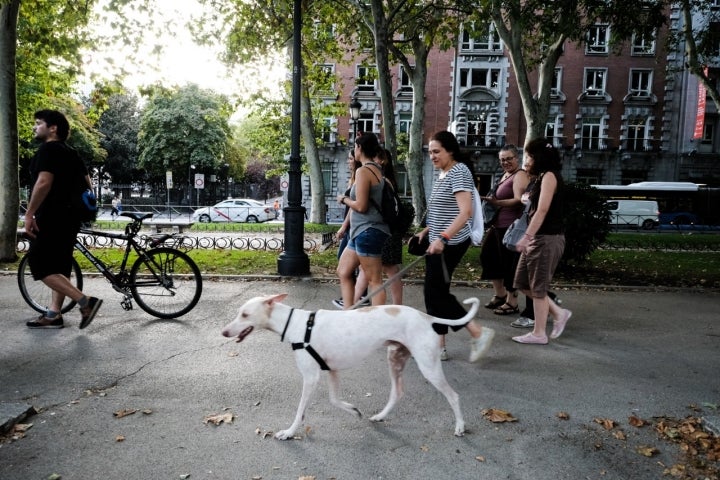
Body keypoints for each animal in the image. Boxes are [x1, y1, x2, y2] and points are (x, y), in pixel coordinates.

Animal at [219, 292, 478, 438]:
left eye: (244, 315)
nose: (223, 332)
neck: (298, 325)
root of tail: (426, 317)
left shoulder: (311, 378)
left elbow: (300, 411)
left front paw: (289, 433)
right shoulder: (332, 371)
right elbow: (335, 400)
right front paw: (353, 410)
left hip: (428, 366)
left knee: (453, 396)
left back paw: (460, 427)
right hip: (395, 360)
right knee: (397, 392)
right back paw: (380, 416)